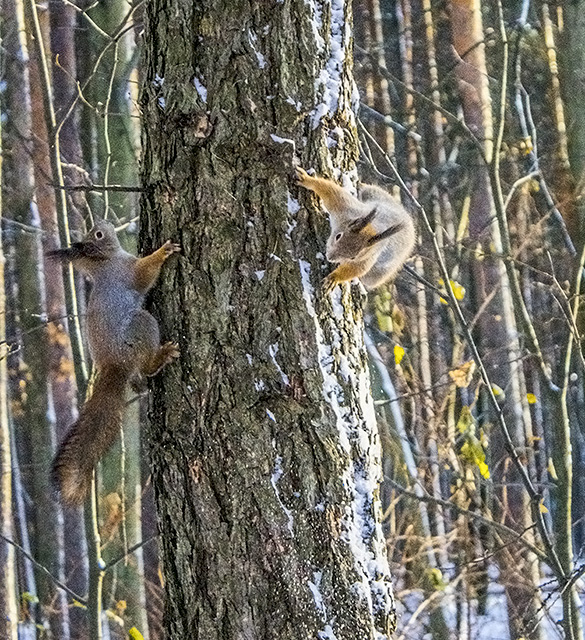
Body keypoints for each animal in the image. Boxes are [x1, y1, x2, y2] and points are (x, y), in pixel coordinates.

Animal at [47, 220, 179, 504]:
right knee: (146, 363)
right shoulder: (126, 272)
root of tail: (114, 364)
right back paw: (160, 357)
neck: (105, 262)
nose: (102, 223)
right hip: (140, 326)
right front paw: (163, 251)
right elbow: (144, 273)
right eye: (98, 234)